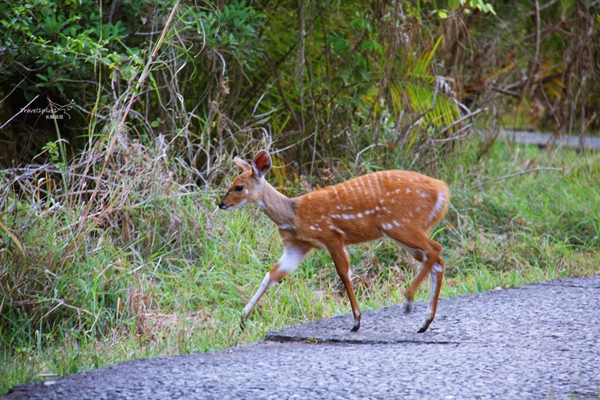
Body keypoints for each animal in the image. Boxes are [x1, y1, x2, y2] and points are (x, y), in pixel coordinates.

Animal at [217, 148, 450, 332]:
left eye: (239, 187)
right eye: (232, 183)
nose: (221, 204)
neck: (292, 215)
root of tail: (442, 191)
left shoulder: (331, 236)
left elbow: (343, 273)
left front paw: (356, 321)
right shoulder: (297, 247)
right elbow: (271, 275)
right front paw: (242, 319)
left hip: (401, 224)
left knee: (435, 248)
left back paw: (409, 301)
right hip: (401, 230)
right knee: (436, 260)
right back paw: (424, 322)